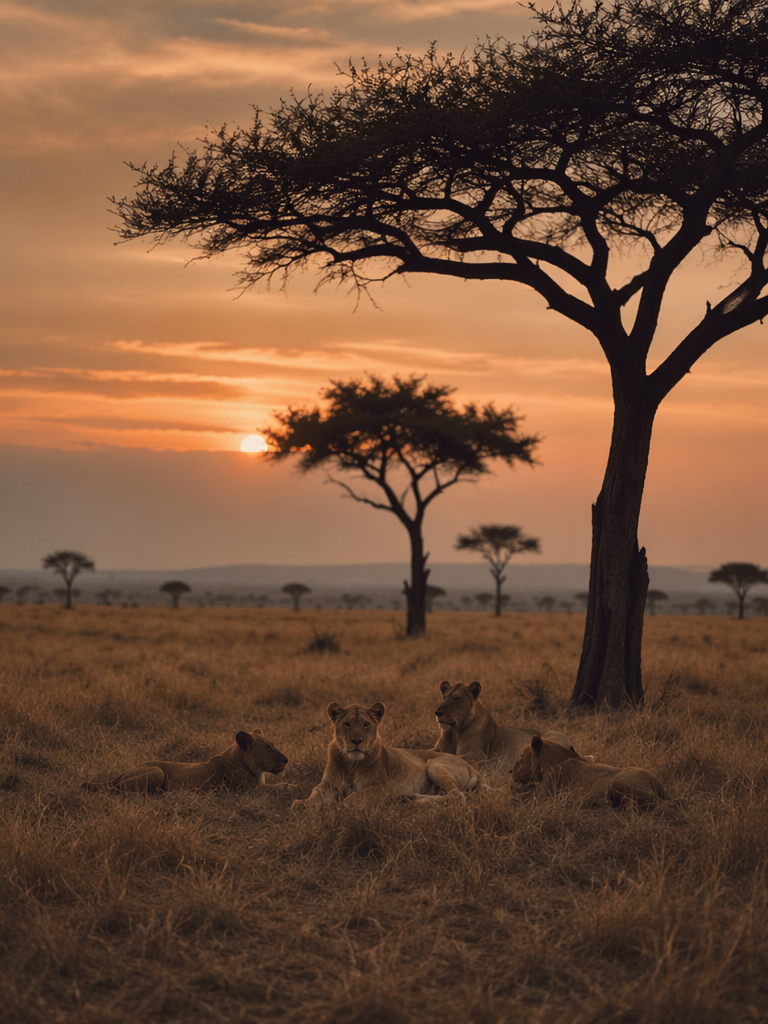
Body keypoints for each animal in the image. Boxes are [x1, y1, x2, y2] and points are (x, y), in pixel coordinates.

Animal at [83, 730, 288, 794]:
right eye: (269, 747)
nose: (287, 760)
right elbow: (282, 787)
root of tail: (119, 775)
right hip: (157, 772)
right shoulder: (249, 791)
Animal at [293, 701, 480, 810]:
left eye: (365, 724)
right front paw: (302, 804)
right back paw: (408, 798)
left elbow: (355, 796)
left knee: (457, 796)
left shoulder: (381, 787)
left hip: (433, 763)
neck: (351, 763)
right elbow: (315, 792)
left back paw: (412, 801)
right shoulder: (328, 785)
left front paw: (339, 807)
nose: (356, 741)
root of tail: (473, 769)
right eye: (346, 724)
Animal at [433, 680, 574, 764]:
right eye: (444, 697)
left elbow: (456, 757)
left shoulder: (479, 753)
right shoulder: (438, 748)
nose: (437, 713)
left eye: (456, 699)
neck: (455, 732)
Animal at [511, 736, 668, 807]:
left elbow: (518, 795)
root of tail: (659, 784)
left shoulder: (544, 795)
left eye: (521, 756)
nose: (510, 770)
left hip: (616, 782)